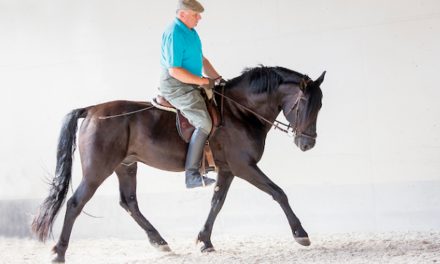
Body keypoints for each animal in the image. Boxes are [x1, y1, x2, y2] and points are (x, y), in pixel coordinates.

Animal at [31, 66, 324, 262]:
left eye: (319, 106)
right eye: (304, 104)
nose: (308, 144)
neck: (240, 111)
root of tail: (91, 110)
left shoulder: (228, 170)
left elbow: (217, 203)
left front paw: (205, 241)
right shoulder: (244, 167)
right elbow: (278, 192)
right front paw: (300, 233)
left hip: (126, 166)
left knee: (129, 202)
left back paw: (160, 242)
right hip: (97, 170)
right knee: (75, 203)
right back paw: (59, 252)